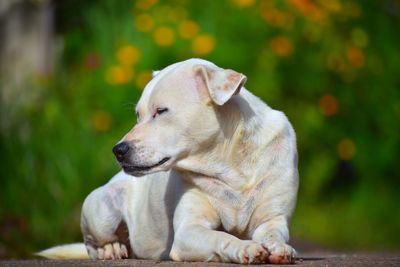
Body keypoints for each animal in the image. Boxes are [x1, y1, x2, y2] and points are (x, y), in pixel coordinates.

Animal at [39, 57, 298, 264]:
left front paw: (281, 248)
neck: (230, 167)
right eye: (138, 115)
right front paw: (246, 247)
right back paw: (111, 249)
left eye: (161, 111)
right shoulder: (188, 231)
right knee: (92, 245)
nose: (118, 150)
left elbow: (274, 234)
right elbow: (221, 237)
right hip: (101, 208)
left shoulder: (272, 219)